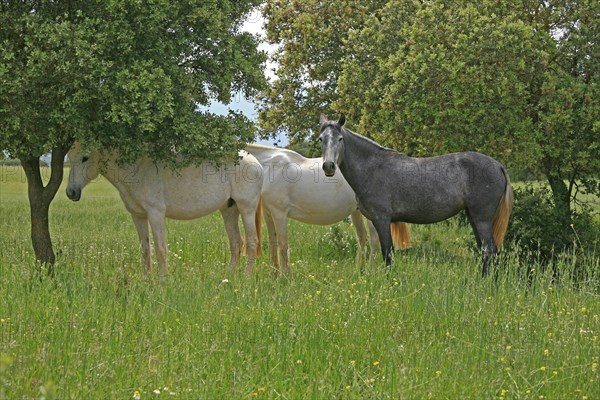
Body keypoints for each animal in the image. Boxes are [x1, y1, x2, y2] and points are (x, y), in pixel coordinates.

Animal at [66, 144, 262, 278]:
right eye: (69, 156)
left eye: (85, 158)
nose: (71, 192)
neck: (137, 170)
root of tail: (255, 162)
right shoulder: (138, 216)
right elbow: (145, 249)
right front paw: (145, 280)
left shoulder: (155, 214)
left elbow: (160, 249)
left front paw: (163, 281)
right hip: (229, 210)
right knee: (236, 243)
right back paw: (227, 277)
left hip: (246, 208)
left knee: (251, 242)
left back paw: (246, 277)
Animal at [244, 145, 408, 276]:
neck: (269, 167)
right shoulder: (269, 214)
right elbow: (273, 244)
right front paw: (274, 275)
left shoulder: (280, 214)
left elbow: (283, 245)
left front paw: (285, 276)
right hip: (356, 212)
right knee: (362, 238)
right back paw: (359, 271)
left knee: (374, 241)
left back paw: (370, 272)